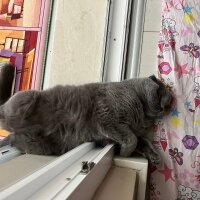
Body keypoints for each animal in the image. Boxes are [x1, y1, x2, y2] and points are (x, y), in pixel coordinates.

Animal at [0, 75, 172, 164]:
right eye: (161, 91)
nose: (168, 104)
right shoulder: (107, 117)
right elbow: (132, 139)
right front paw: (125, 153)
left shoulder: (123, 133)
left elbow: (143, 141)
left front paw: (155, 157)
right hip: (25, 100)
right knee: (4, 117)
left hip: (40, 146)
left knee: (14, 140)